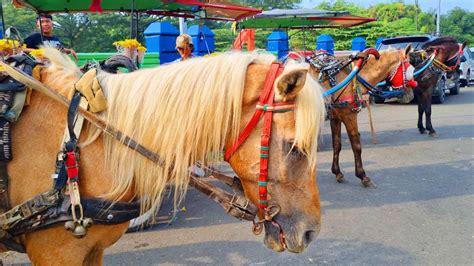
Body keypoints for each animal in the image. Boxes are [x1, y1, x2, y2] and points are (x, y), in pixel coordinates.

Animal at [308, 45, 414, 186]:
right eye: (409, 68)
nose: (411, 92)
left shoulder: (335, 117)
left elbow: (337, 144)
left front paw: (337, 172)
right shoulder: (349, 116)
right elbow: (356, 145)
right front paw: (362, 175)